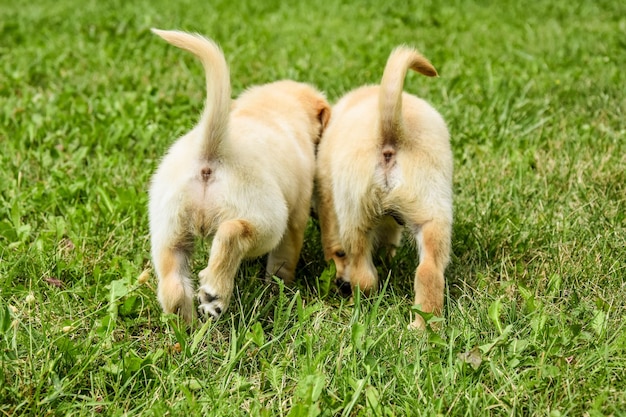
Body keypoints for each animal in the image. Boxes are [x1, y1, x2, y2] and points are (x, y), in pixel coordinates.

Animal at [148, 30, 330, 322]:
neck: (271, 107)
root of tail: (213, 150)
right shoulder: (295, 217)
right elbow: (283, 261)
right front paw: (279, 288)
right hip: (267, 218)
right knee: (232, 233)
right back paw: (215, 292)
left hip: (169, 229)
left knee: (173, 285)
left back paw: (187, 326)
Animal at [314, 45, 450, 328]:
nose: (339, 284)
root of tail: (391, 130)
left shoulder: (328, 202)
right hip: (433, 214)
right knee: (429, 271)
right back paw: (423, 327)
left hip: (354, 218)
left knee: (364, 275)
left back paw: (358, 303)